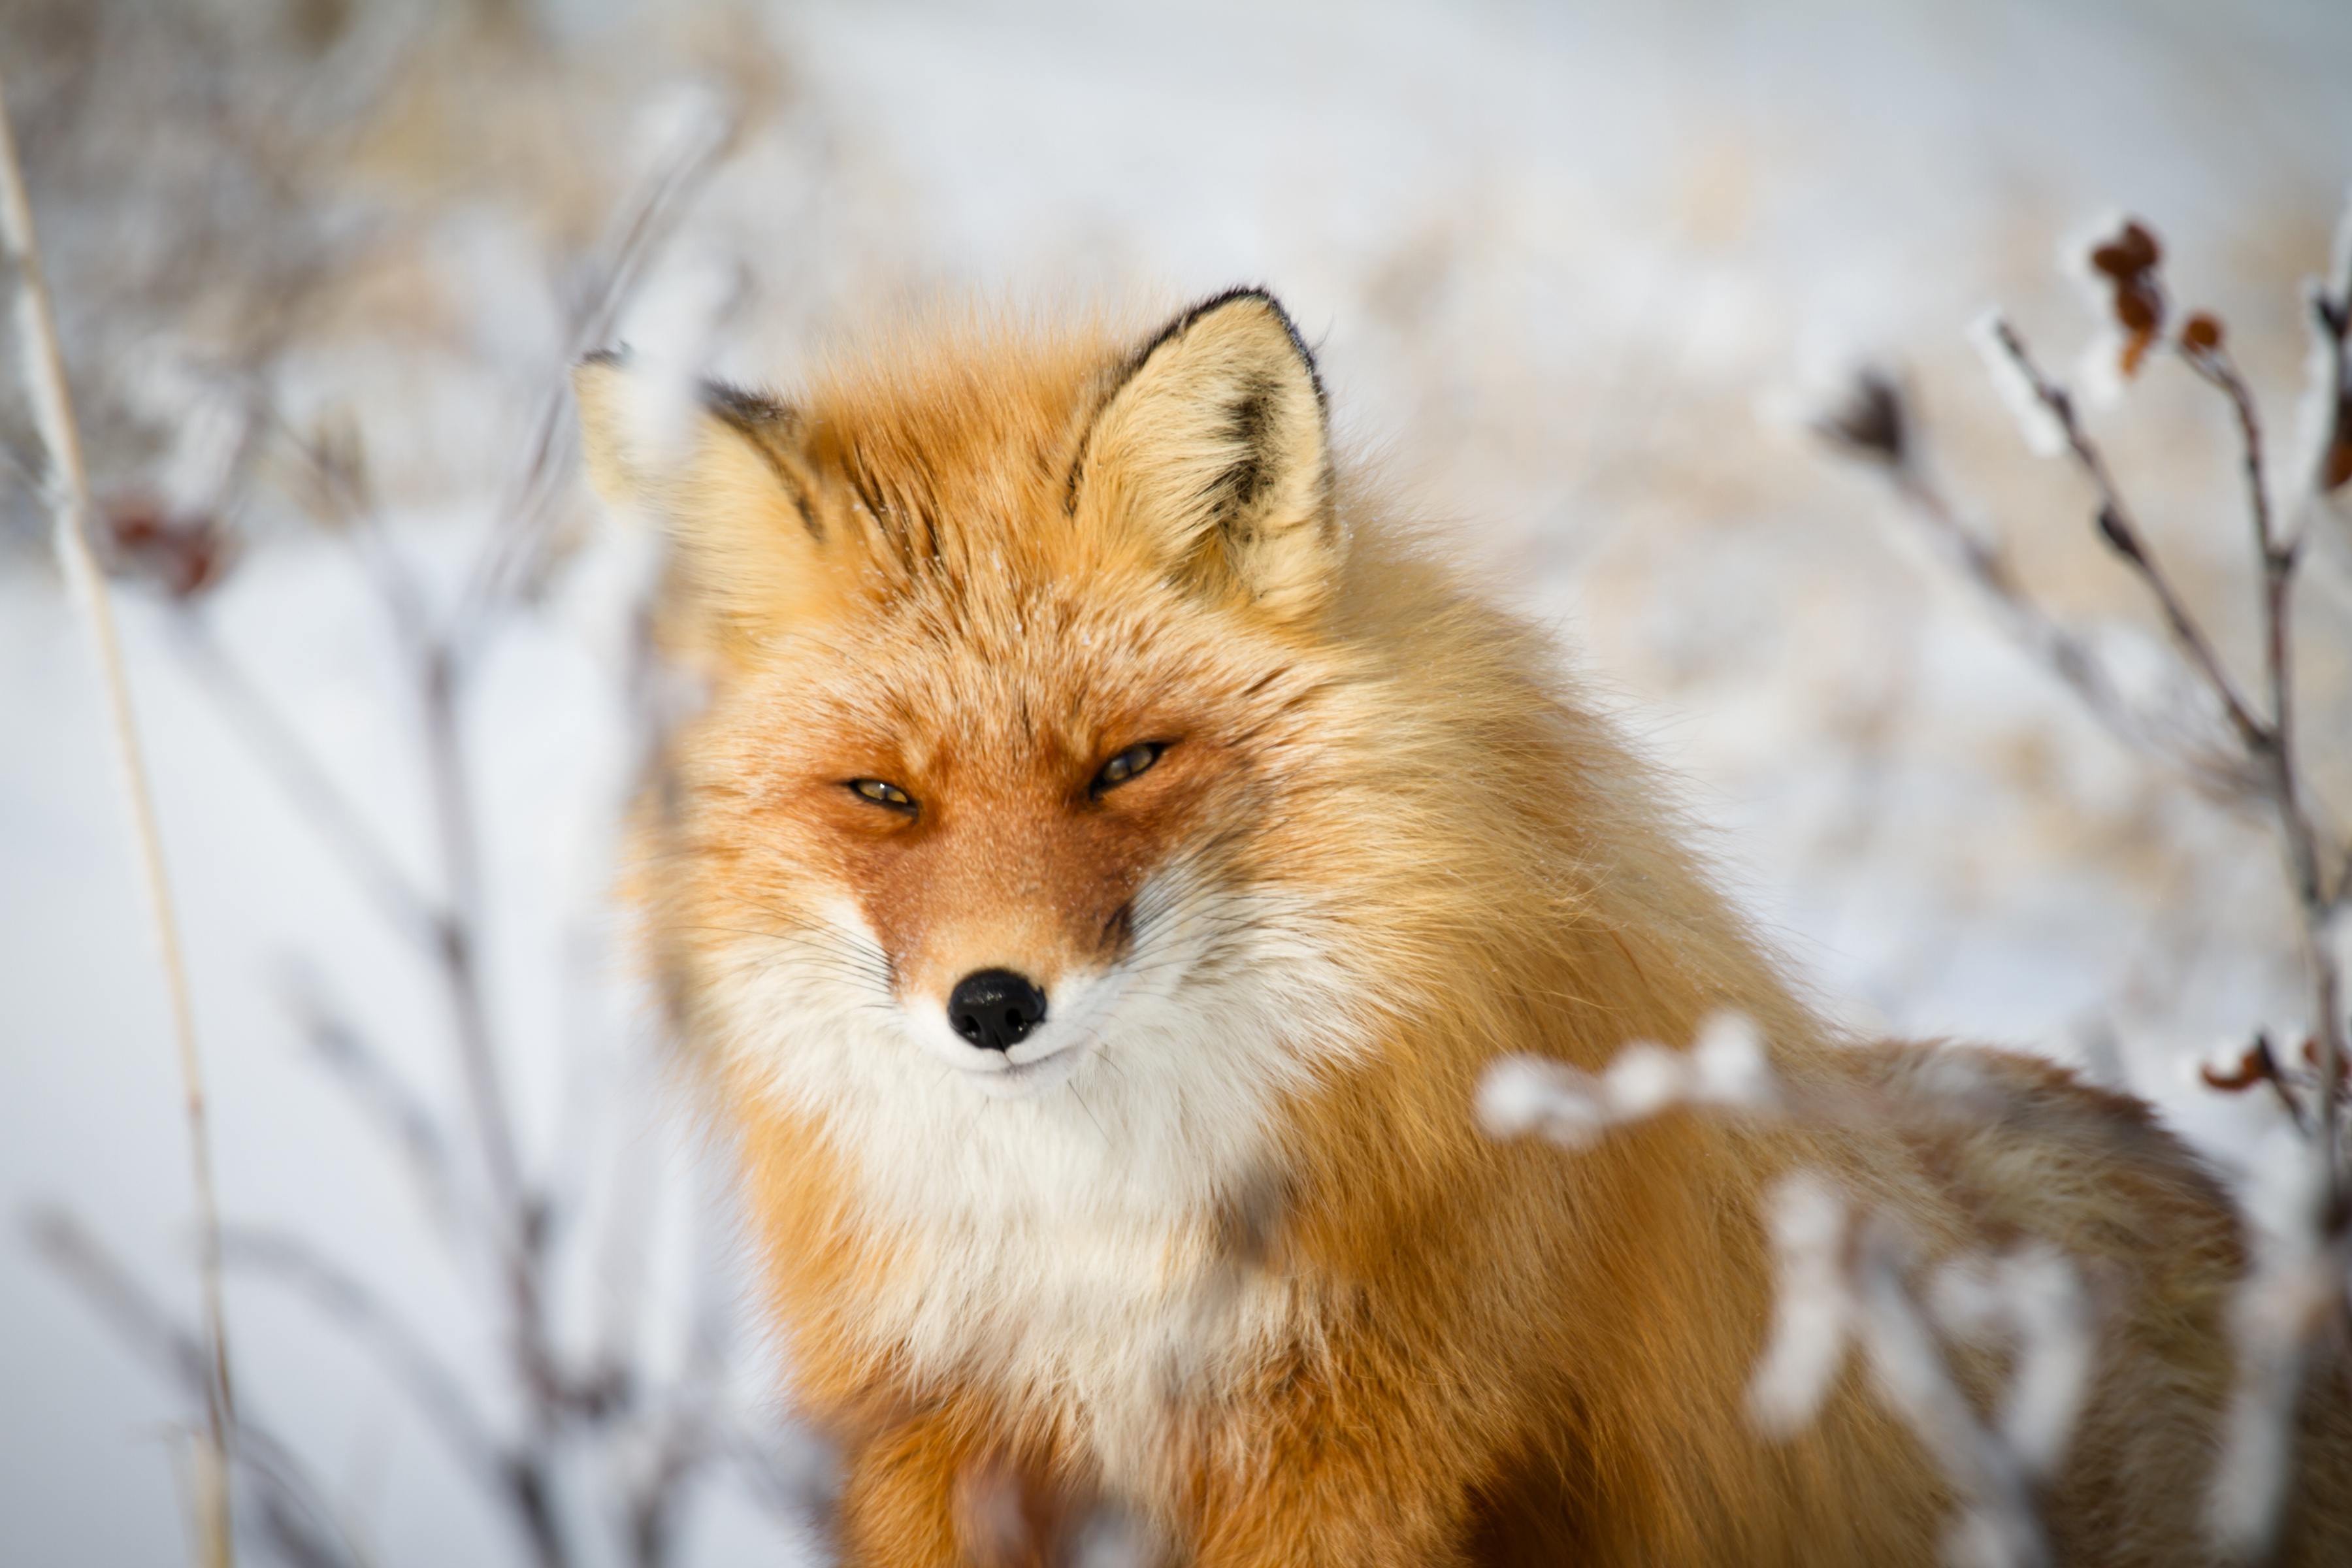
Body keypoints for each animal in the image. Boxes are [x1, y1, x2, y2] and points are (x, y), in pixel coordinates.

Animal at [574, 293, 2352, 1568]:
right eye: (881, 793)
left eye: (1127, 762)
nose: (995, 1003)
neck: (1103, 1247)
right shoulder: (933, 1437)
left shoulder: (1367, 1451)